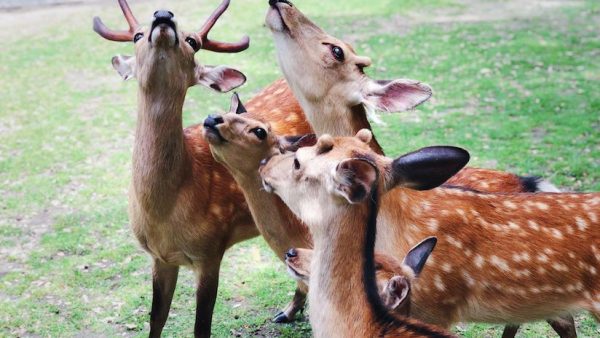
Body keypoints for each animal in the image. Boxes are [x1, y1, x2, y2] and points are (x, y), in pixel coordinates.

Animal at [92, 0, 314, 336]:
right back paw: (287, 311)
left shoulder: (210, 250)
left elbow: (201, 327)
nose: (163, 16)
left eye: (193, 42)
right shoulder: (159, 257)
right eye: (137, 35)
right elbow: (156, 318)